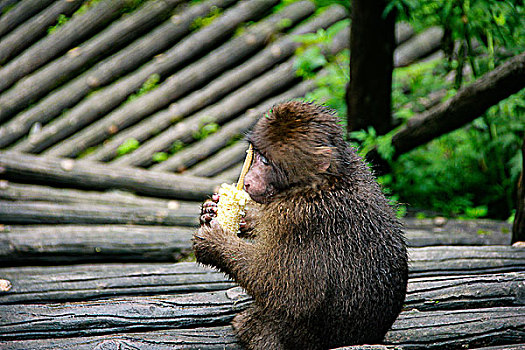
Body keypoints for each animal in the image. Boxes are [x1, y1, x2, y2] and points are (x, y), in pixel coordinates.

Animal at [193, 100, 410, 350]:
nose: (246, 181)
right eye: (256, 155)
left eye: (266, 161)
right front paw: (213, 210)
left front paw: (214, 243)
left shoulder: (300, 218)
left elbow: (290, 291)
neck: (319, 184)